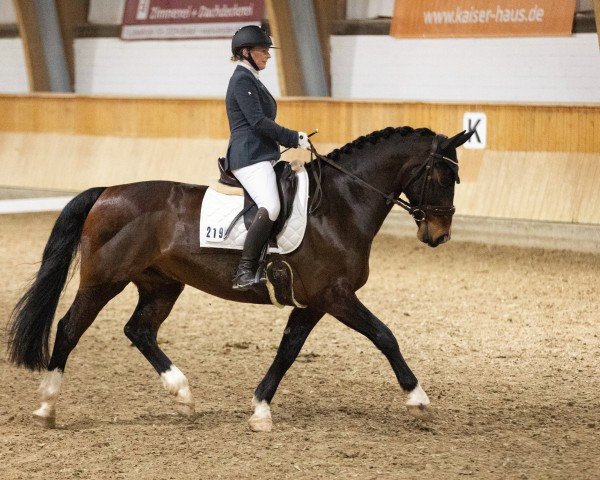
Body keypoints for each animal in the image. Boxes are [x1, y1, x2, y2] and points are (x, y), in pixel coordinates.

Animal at [4, 124, 474, 432]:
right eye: (443, 174)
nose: (439, 235)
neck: (340, 206)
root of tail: (106, 192)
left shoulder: (314, 302)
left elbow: (288, 350)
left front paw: (260, 408)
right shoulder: (335, 296)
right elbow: (384, 335)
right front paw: (417, 398)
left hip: (162, 284)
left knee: (138, 330)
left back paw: (182, 394)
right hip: (104, 280)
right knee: (69, 328)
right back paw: (47, 407)